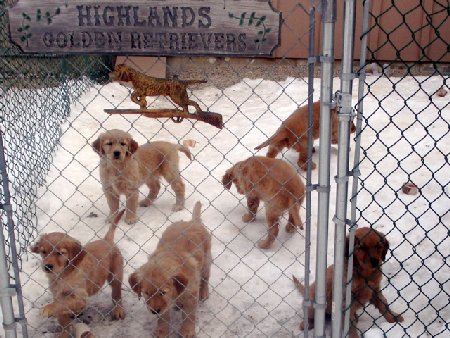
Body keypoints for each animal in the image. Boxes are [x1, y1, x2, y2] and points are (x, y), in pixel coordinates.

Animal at [127, 202, 210, 336]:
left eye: (163, 292)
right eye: (146, 293)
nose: (154, 311)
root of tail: (192, 222)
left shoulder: (191, 294)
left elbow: (189, 315)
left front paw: (187, 331)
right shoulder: (164, 305)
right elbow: (163, 317)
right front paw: (162, 331)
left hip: (206, 261)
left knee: (205, 278)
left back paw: (204, 292)